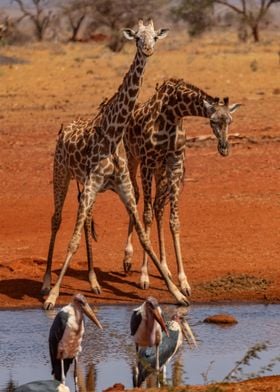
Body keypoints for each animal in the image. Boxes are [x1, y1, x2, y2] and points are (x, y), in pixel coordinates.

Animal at [41, 20, 190, 310]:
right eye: (137, 38)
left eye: (155, 37)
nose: (148, 50)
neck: (112, 135)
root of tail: (65, 126)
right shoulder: (91, 185)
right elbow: (72, 241)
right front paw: (53, 296)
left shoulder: (124, 189)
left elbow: (144, 237)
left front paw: (177, 293)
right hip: (61, 173)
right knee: (56, 219)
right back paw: (45, 283)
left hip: (84, 187)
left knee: (86, 221)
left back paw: (93, 281)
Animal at [121, 78, 240, 294]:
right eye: (212, 121)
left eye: (230, 121)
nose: (224, 148)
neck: (173, 113)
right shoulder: (147, 162)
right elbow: (146, 215)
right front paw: (144, 276)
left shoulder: (174, 165)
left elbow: (174, 221)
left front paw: (183, 281)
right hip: (133, 157)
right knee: (135, 196)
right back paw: (127, 259)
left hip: (160, 171)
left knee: (159, 207)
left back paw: (164, 267)